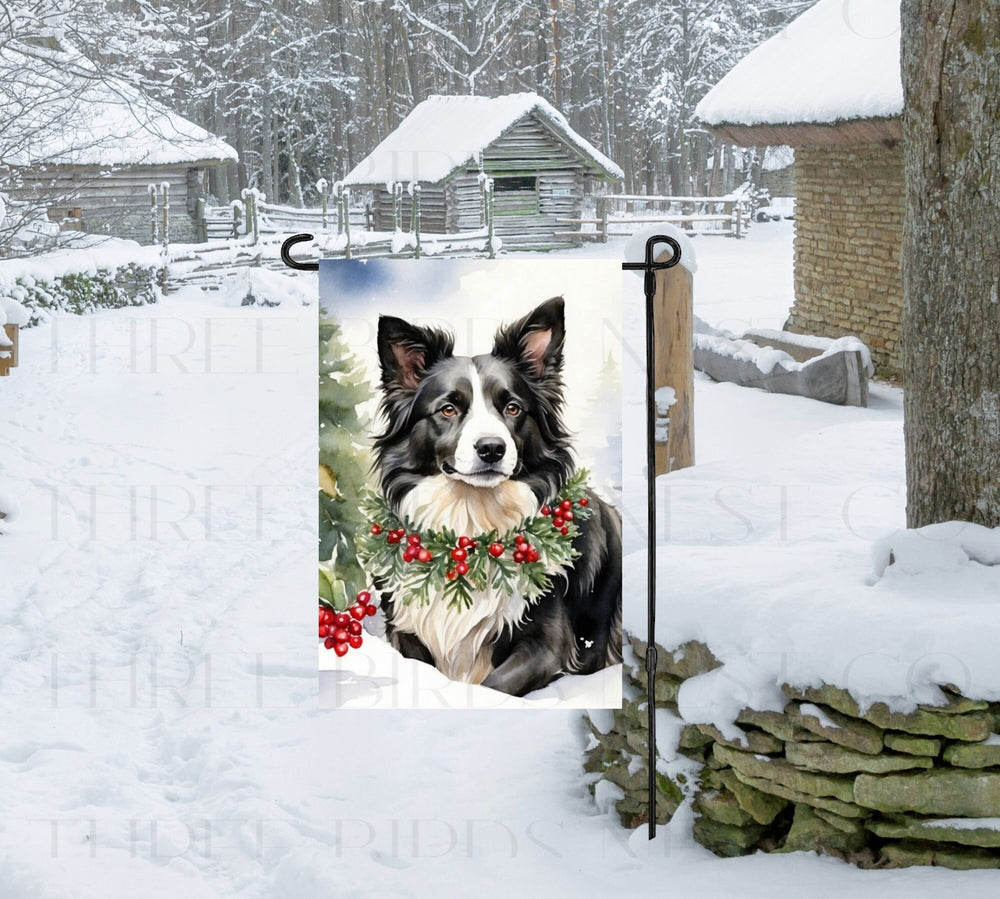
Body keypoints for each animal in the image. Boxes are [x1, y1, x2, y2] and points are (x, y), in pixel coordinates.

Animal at [372, 298, 620, 700]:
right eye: (448, 409)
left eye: (512, 408)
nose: (491, 448)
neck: (473, 531)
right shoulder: (406, 632)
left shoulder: (549, 646)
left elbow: (493, 687)